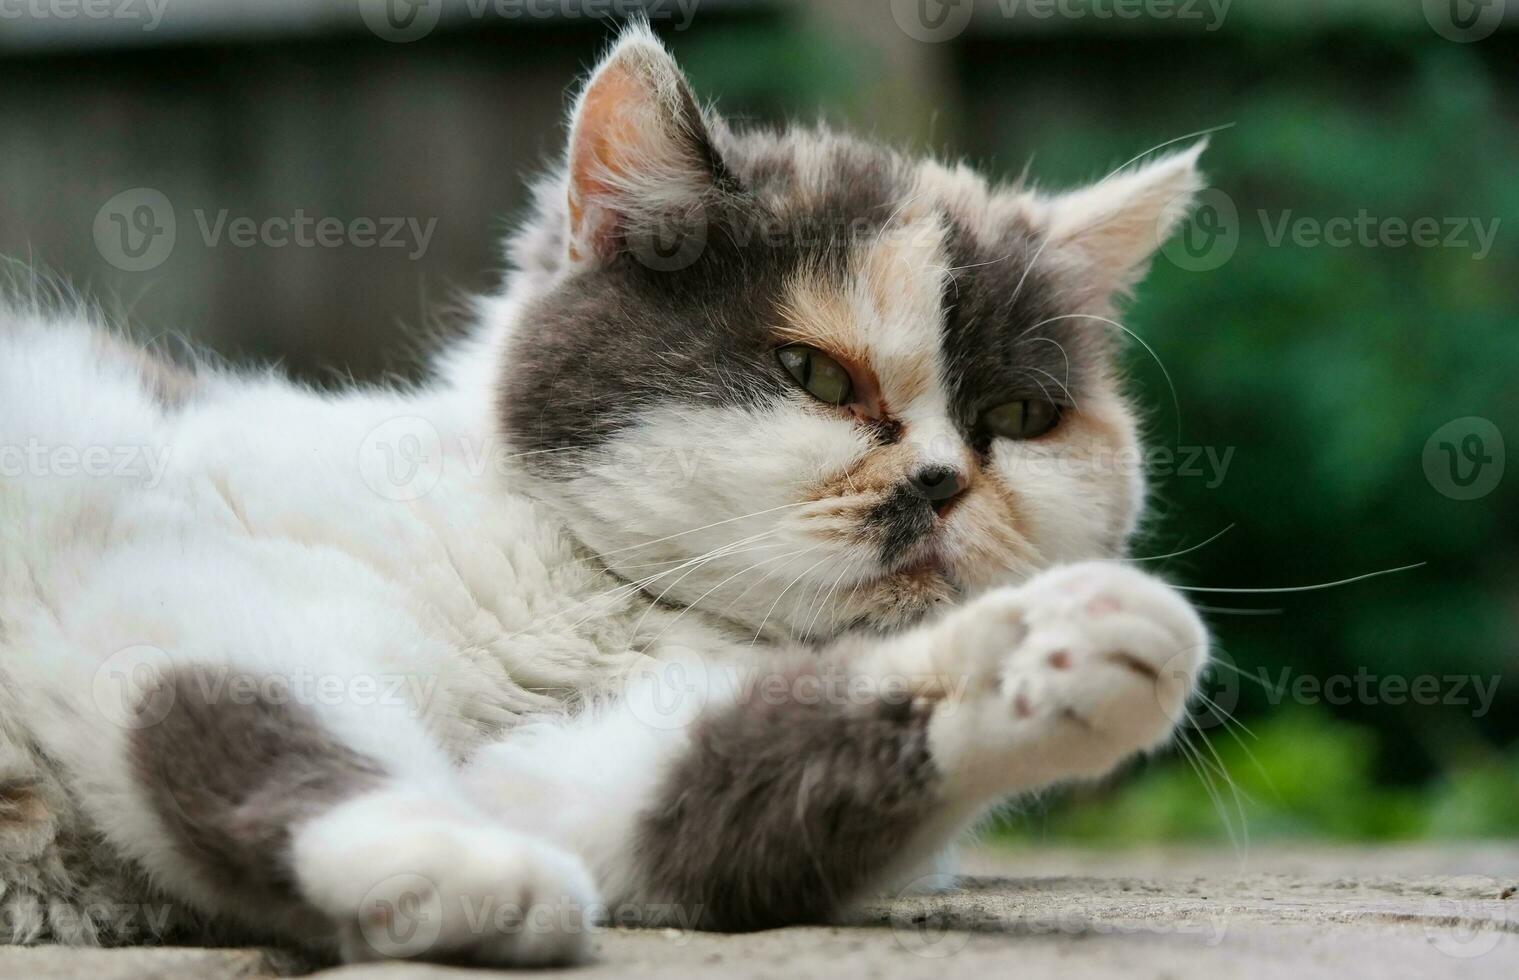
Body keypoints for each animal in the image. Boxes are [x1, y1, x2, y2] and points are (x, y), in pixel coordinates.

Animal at [0, 19, 1209, 966]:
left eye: (1018, 417)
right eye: (816, 375)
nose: (944, 479)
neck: (594, 592)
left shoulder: (572, 774)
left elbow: (689, 788)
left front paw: (1037, 653)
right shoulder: (162, 575)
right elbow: (257, 715)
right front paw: (444, 853)